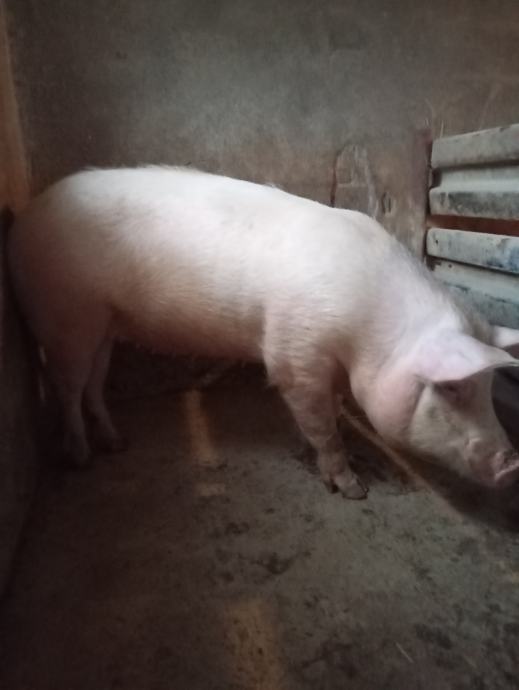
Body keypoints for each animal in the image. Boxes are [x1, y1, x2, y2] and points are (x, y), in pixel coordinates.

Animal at [8, 166, 519, 498]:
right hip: (65, 317)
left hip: (103, 324)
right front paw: (352, 488)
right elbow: (320, 422)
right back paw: (82, 458)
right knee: (68, 388)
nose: (512, 462)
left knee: (93, 385)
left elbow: (329, 411)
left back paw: (117, 443)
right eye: (452, 389)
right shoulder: (294, 352)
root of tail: (25, 220)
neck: (368, 336)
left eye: (489, 389)